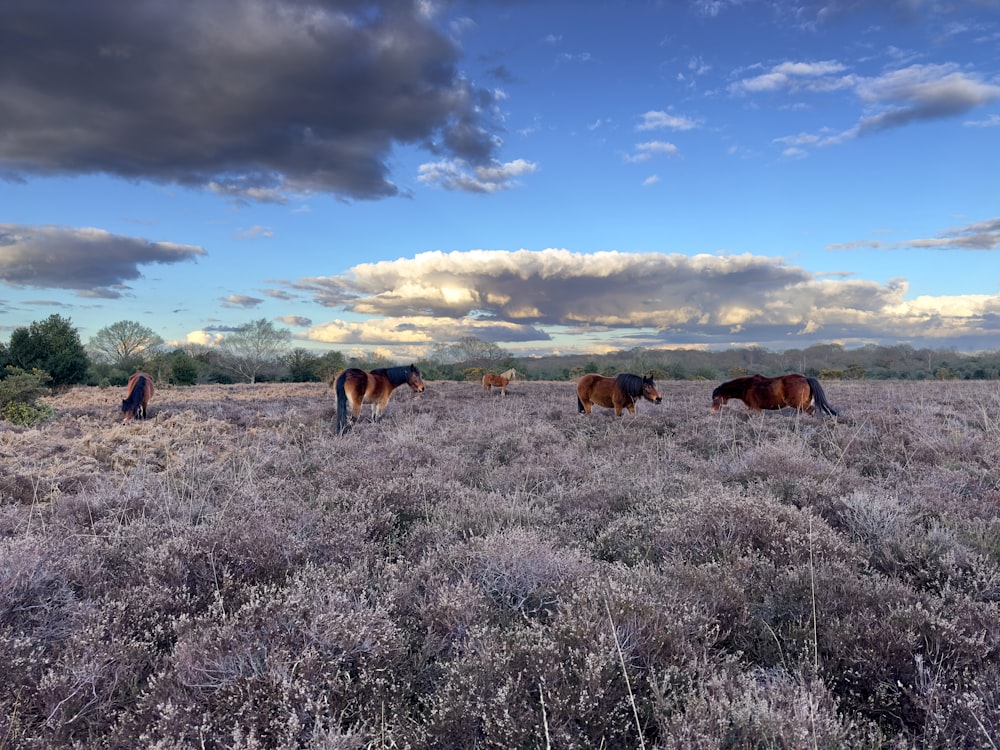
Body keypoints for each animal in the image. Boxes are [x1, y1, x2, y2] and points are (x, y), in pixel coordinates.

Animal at [708, 374, 840, 418]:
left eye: (716, 398)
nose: (712, 410)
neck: (746, 386)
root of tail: (806, 378)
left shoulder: (755, 407)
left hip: (798, 403)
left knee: (811, 410)